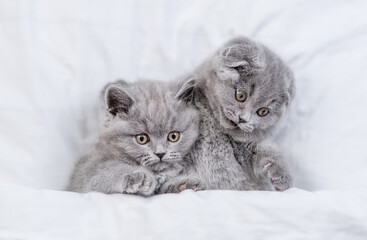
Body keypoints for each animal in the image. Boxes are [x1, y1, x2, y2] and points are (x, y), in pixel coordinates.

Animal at [69, 78, 201, 196]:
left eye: (173, 136)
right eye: (141, 138)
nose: (160, 153)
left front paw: (184, 184)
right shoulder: (84, 175)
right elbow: (107, 173)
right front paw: (136, 176)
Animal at [162, 36, 294, 193]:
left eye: (263, 111)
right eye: (241, 96)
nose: (243, 119)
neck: (214, 122)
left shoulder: (245, 149)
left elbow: (265, 149)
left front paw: (282, 176)